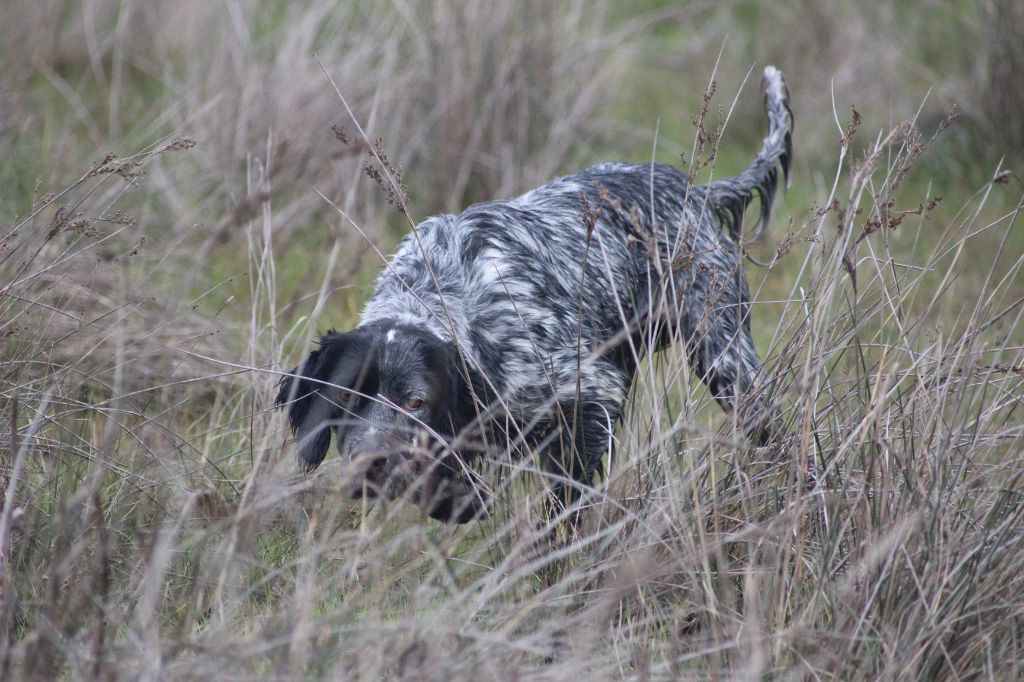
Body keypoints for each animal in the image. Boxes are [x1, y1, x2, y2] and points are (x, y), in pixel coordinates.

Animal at [278, 65, 790, 520]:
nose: (371, 465)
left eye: (415, 402)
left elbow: (566, 498)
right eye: (344, 398)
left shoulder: (589, 391)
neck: (445, 287)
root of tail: (696, 193)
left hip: (725, 359)